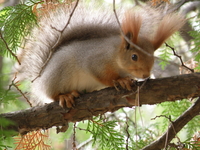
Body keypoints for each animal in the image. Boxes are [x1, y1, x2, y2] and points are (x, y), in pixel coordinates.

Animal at [16, 2, 185, 108]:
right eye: (134, 57)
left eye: (153, 57)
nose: (145, 75)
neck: (115, 54)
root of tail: (41, 80)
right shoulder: (95, 60)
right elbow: (102, 76)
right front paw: (120, 80)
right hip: (59, 75)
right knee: (52, 95)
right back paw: (64, 96)